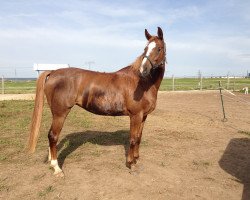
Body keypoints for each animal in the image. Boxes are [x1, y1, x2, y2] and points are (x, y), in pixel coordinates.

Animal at [28, 27, 167, 177]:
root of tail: (53, 72)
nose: (143, 70)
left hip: (55, 113)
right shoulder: (135, 115)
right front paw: (131, 163)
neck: (142, 83)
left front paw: (136, 159)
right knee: (53, 136)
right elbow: (133, 138)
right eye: (145, 49)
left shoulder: (143, 116)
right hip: (60, 113)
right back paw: (57, 168)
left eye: (159, 48)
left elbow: (139, 138)